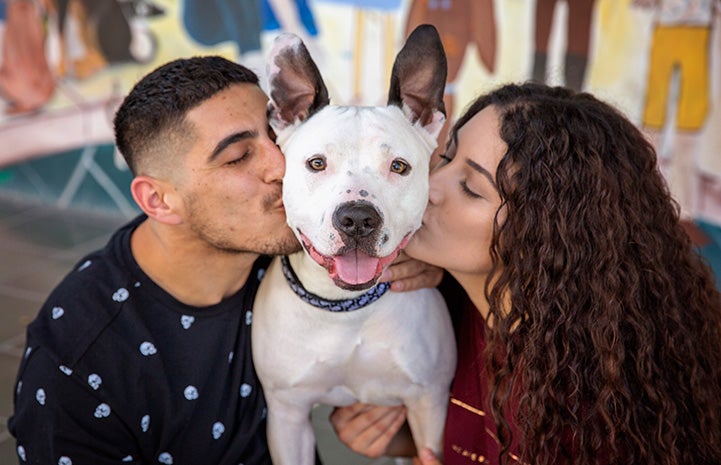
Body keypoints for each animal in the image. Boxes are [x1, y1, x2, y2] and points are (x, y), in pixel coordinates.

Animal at [252, 26, 456, 464]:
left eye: (399, 166)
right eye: (316, 163)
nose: (358, 218)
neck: (345, 310)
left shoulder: (429, 405)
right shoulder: (287, 415)